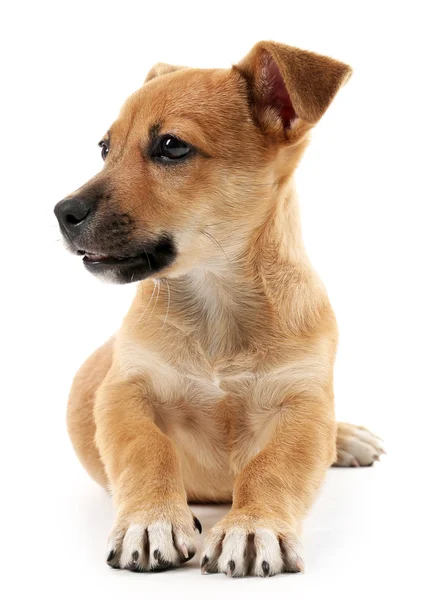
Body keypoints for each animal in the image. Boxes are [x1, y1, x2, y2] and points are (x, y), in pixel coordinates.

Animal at [54, 41, 384, 576]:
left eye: (171, 146)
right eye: (105, 149)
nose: (62, 213)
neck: (216, 302)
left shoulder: (303, 402)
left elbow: (273, 466)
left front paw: (253, 525)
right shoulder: (122, 392)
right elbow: (147, 449)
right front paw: (151, 519)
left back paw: (346, 437)